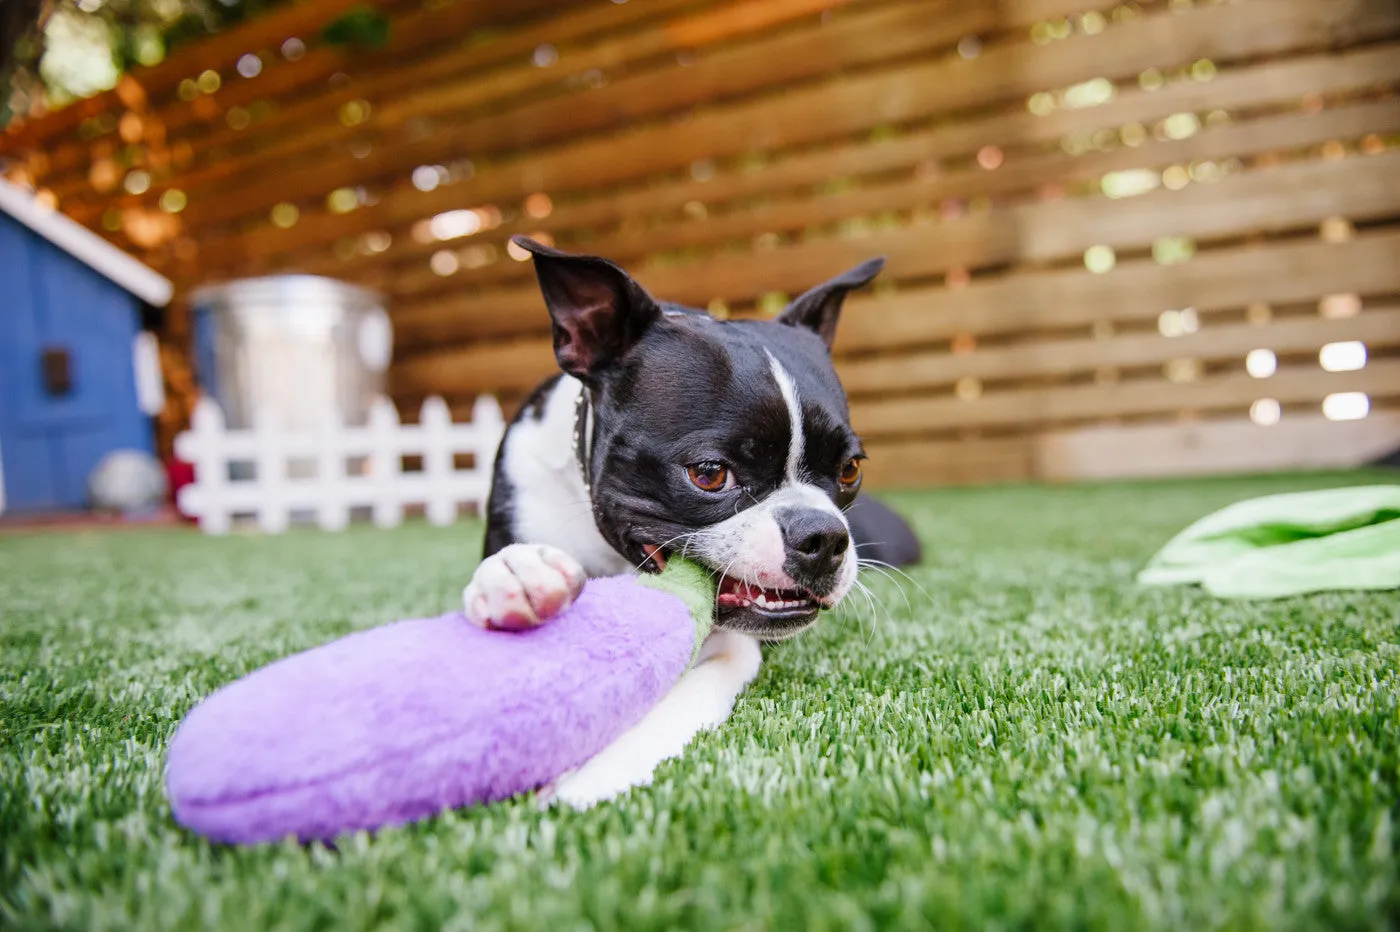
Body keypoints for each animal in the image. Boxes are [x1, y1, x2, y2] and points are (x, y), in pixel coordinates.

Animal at [459, 236, 918, 800]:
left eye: (850, 469)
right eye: (709, 474)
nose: (824, 535)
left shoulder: (731, 646)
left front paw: (597, 772)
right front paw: (517, 572)